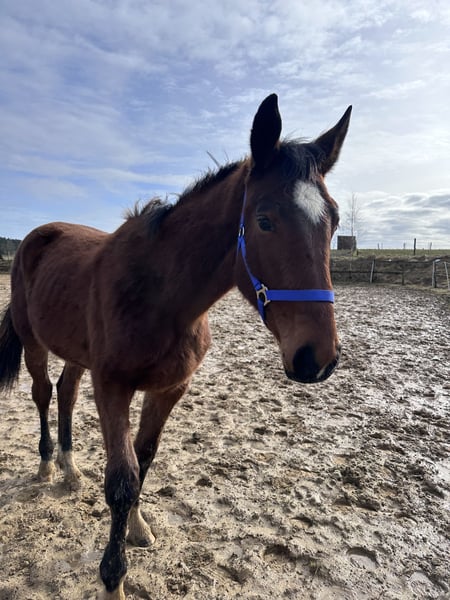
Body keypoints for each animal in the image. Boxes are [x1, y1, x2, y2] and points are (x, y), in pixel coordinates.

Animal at [0, 94, 351, 599]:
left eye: (334, 220)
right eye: (264, 220)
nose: (316, 358)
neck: (160, 296)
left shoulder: (168, 390)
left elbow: (143, 462)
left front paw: (137, 526)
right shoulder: (113, 388)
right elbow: (122, 479)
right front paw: (113, 579)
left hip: (75, 353)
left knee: (66, 393)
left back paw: (69, 467)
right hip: (35, 343)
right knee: (44, 394)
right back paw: (48, 465)